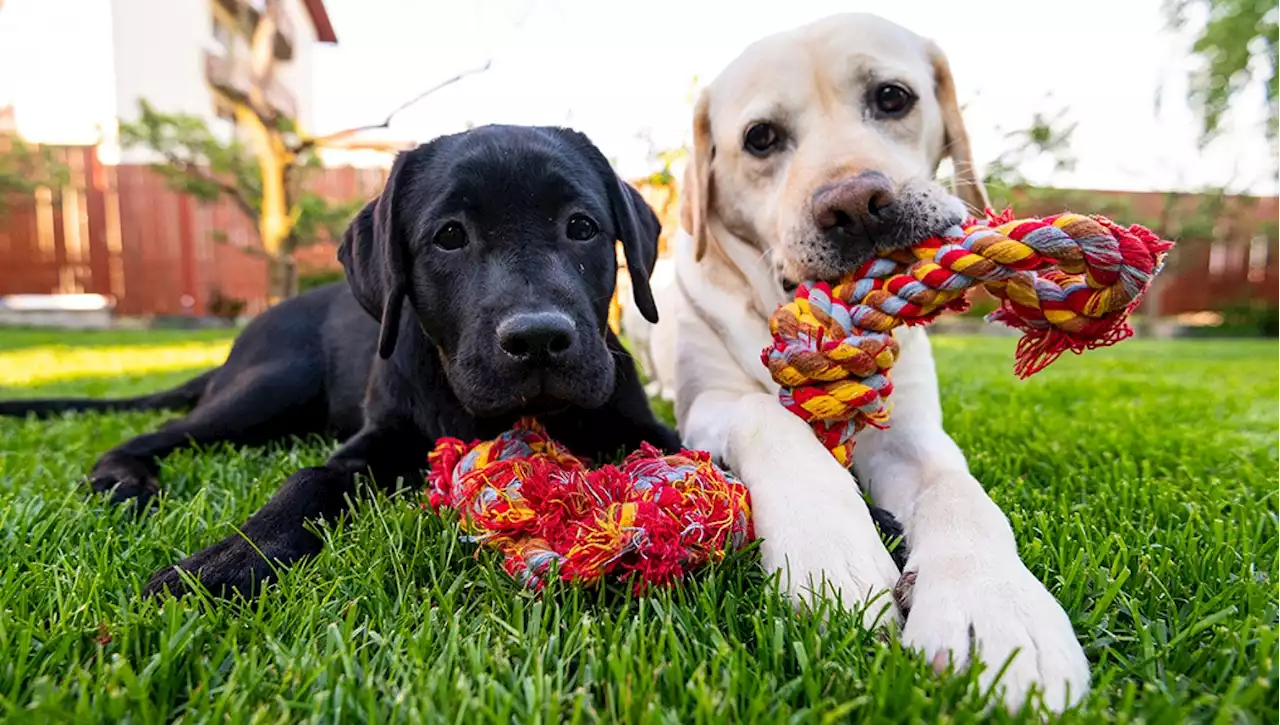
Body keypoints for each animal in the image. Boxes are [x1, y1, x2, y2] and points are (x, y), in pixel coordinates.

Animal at [2, 124, 680, 599]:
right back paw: (123, 479)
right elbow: (311, 478)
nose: (538, 338)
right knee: (161, 431)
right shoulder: (373, 439)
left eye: (582, 227)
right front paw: (227, 561)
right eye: (450, 236)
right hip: (272, 384)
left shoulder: (642, 424)